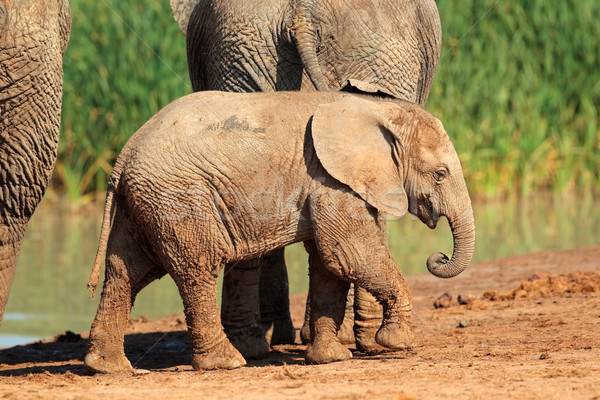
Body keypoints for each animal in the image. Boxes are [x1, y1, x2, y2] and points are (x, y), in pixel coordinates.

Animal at [84, 90, 476, 372]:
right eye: (440, 173)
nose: (437, 256)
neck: (378, 109)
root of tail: (122, 156)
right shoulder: (331, 180)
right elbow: (349, 255)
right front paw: (399, 343)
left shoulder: (329, 182)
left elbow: (329, 263)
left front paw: (331, 359)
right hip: (178, 199)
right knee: (197, 270)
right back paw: (227, 363)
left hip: (143, 204)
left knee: (125, 274)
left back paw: (107, 368)